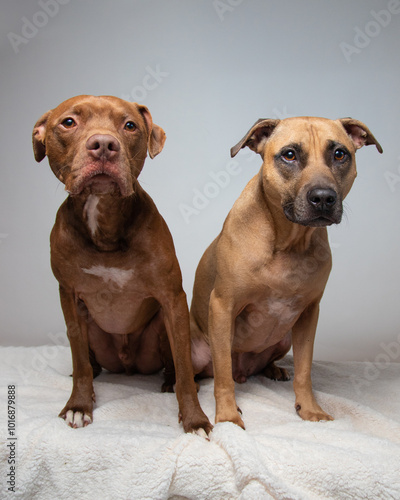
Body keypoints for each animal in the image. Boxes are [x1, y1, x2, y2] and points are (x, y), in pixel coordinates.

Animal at [32, 95, 212, 436]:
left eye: (129, 125)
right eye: (68, 122)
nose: (103, 144)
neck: (104, 220)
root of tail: (128, 365)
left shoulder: (172, 299)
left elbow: (185, 370)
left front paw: (194, 419)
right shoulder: (69, 297)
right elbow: (78, 361)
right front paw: (79, 405)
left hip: (161, 328)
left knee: (174, 365)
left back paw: (167, 382)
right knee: (86, 360)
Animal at [189, 115, 382, 428]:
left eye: (340, 154)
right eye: (289, 154)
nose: (323, 198)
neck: (290, 242)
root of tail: (244, 371)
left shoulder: (309, 314)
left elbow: (305, 369)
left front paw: (310, 408)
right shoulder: (222, 306)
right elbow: (222, 375)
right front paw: (228, 416)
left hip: (284, 338)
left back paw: (273, 370)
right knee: (209, 370)